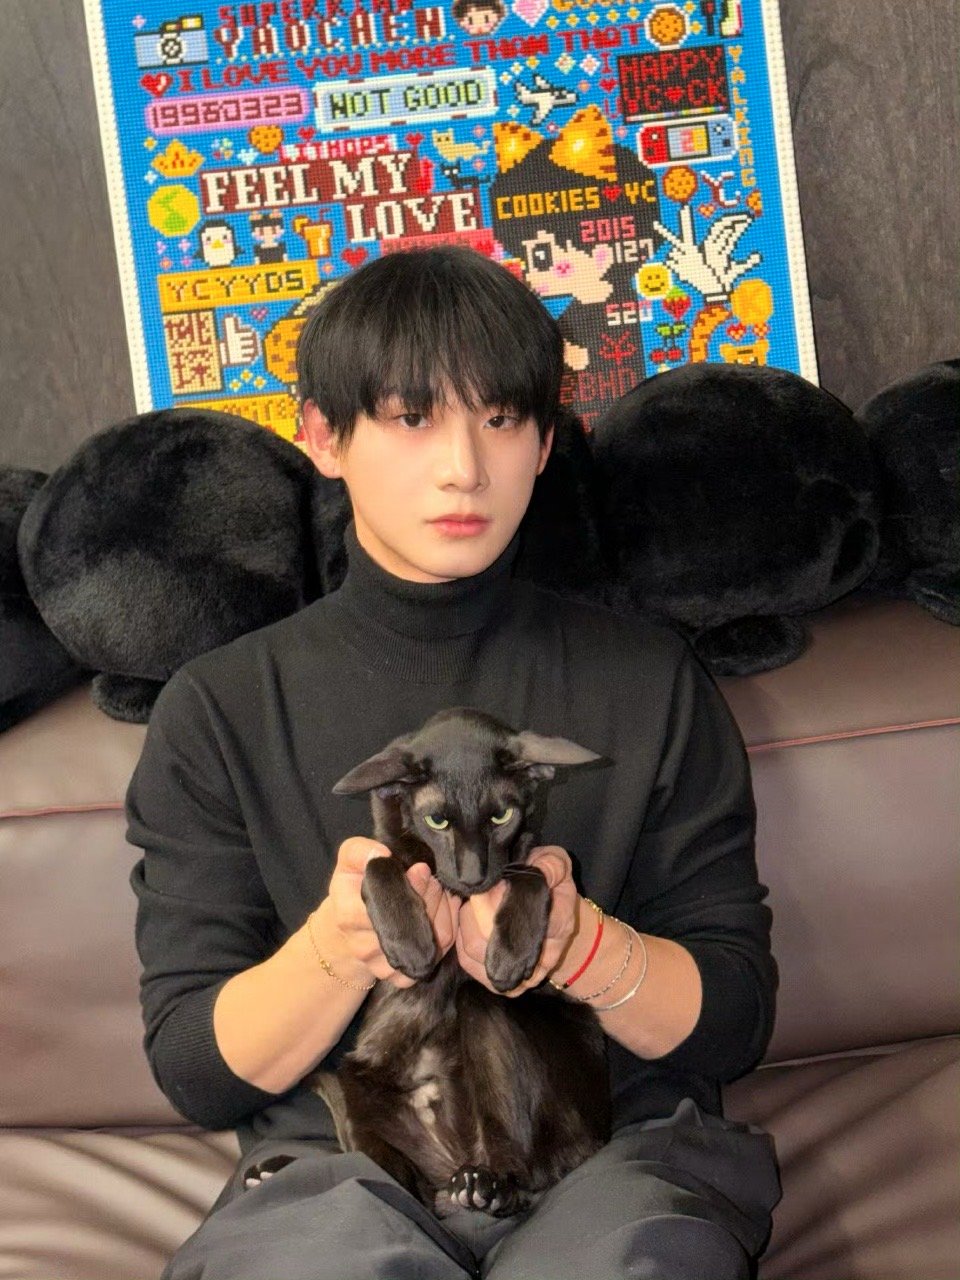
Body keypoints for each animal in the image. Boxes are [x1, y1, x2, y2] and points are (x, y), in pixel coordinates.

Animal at [307, 706, 613, 1219]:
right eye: (437, 820)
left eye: (501, 815)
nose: (472, 878)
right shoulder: (383, 850)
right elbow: (376, 864)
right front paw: (410, 943)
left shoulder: (528, 859)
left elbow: (534, 872)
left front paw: (511, 952)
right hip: (359, 1088)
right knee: (408, 1188)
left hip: (490, 1014)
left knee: (521, 1172)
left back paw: (489, 1184)